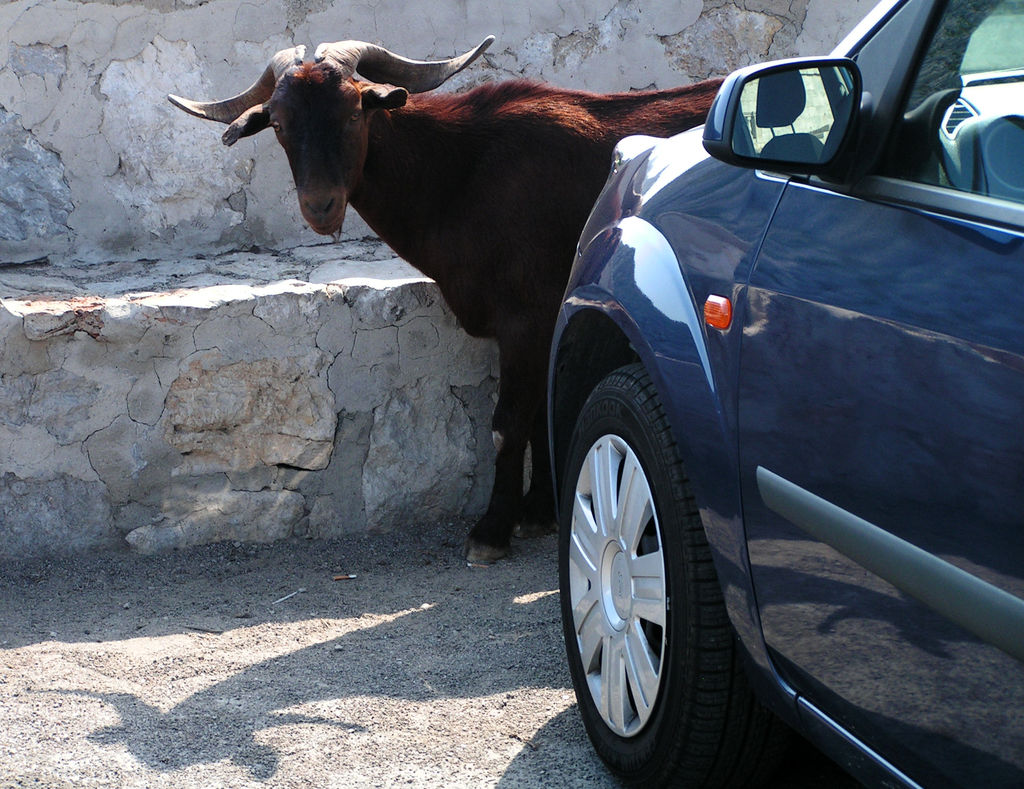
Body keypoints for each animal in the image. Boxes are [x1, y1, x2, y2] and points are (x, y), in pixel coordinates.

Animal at [172, 38, 720, 560]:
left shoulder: (527, 316)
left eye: (353, 112)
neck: (461, 176)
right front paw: (539, 512)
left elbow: (508, 424)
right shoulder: (539, 323)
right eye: (281, 124)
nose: (321, 206)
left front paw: (492, 531)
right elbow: (540, 411)